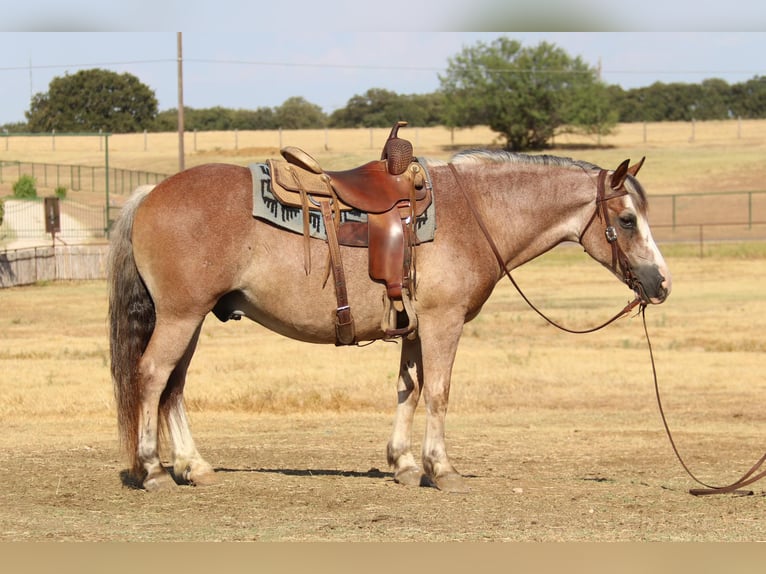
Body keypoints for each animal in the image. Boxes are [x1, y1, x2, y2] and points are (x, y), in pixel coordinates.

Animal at [106, 150, 672, 496]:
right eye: (627, 221)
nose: (662, 283)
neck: (476, 214)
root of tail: (150, 193)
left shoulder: (415, 328)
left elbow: (410, 388)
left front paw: (403, 463)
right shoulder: (443, 323)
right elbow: (439, 391)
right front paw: (441, 469)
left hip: (192, 319)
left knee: (174, 386)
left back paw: (192, 466)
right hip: (180, 317)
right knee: (153, 376)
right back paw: (153, 469)